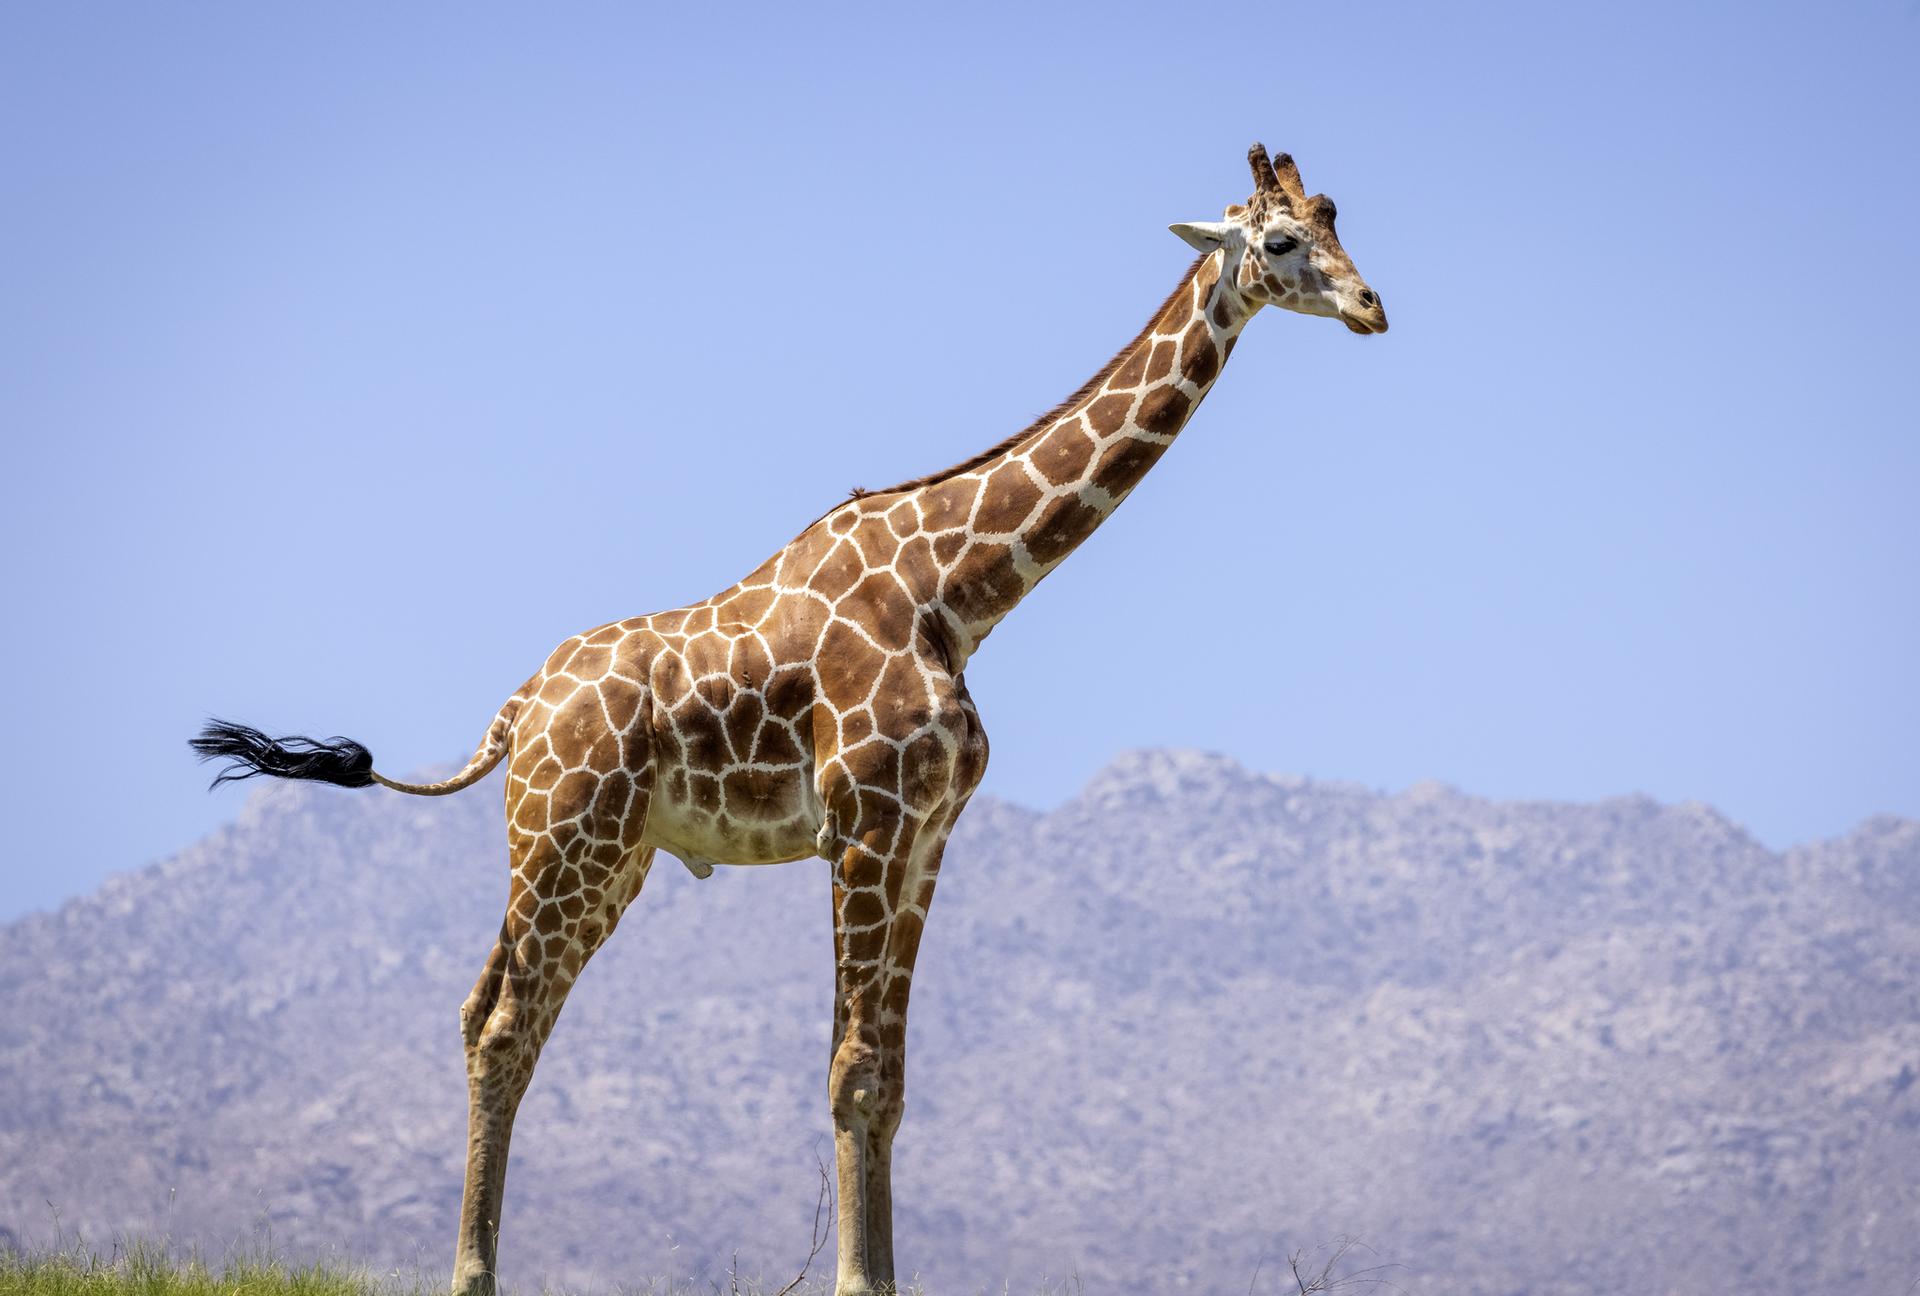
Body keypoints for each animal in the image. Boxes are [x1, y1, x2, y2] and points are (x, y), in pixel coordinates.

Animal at [191, 142, 1386, 1296]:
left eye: (1337, 218)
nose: (1375, 306)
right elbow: (851, 1075)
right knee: (501, 1025)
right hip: (563, 839)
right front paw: (858, 1281)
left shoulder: (926, 837)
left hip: (610, 857)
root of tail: (515, 711)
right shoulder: (862, 826)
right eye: (1282, 240)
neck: (960, 592)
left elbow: (890, 1080)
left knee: (491, 1012)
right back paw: (473, 1274)